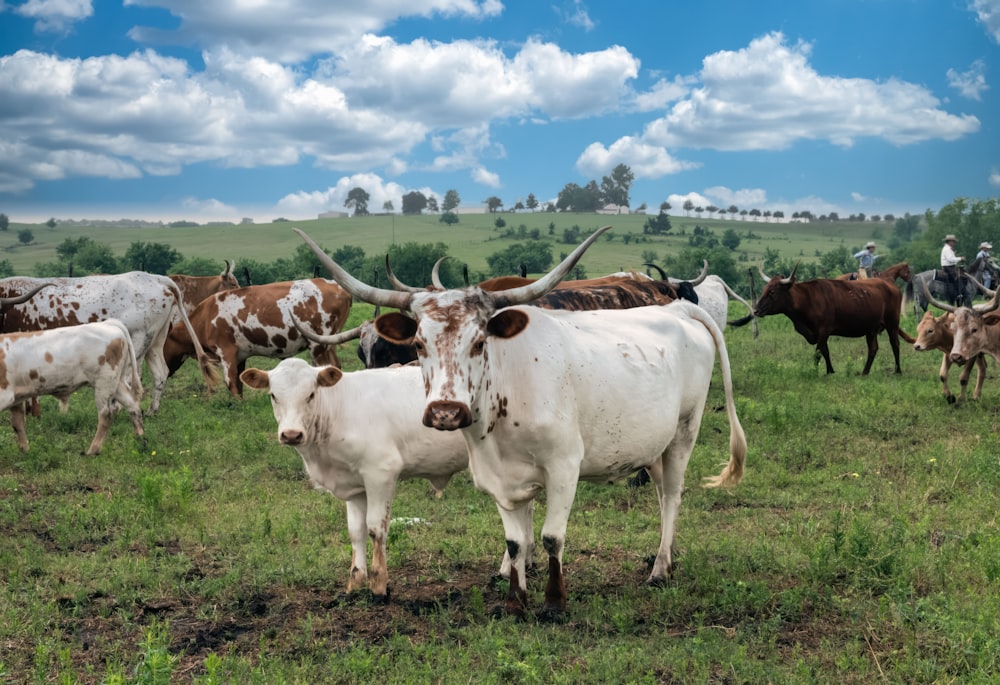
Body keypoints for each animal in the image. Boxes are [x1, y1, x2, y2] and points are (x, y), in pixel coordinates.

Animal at [0, 272, 217, 412]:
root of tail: (157, 278)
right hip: (155, 341)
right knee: (160, 373)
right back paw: (152, 410)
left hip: (137, 341)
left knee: (130, 377)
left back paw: (118, 408)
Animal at [163, 278, 352, 396]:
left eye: (160, 346)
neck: (206, 316)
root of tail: (338, 287)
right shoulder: (239, 355)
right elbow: (239, 382)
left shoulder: (226, 351)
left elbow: (230, 381)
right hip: (329, 343)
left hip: (317, 345)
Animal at [238, 358, 468, 600]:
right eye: (273, 395)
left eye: (311, 394)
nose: (291, 434)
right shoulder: (354, 484)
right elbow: (356, 531)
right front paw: (355, 584)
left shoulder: (381, 472)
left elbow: (376, 528)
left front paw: (378, 585)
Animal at [752, 266, 916, 374]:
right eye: (764, 289)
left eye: (772, 291)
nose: (755, 310)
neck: (808, 299)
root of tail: (889, 283)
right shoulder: (819, 334)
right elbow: (824, 351)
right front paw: (829, 371)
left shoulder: (823, 331)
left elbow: (820, 352)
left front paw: (819, 371)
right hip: (871, 328)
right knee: (873, 348)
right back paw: (865, 372)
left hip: (892, 323)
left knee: (895, 344)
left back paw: (898, 371)